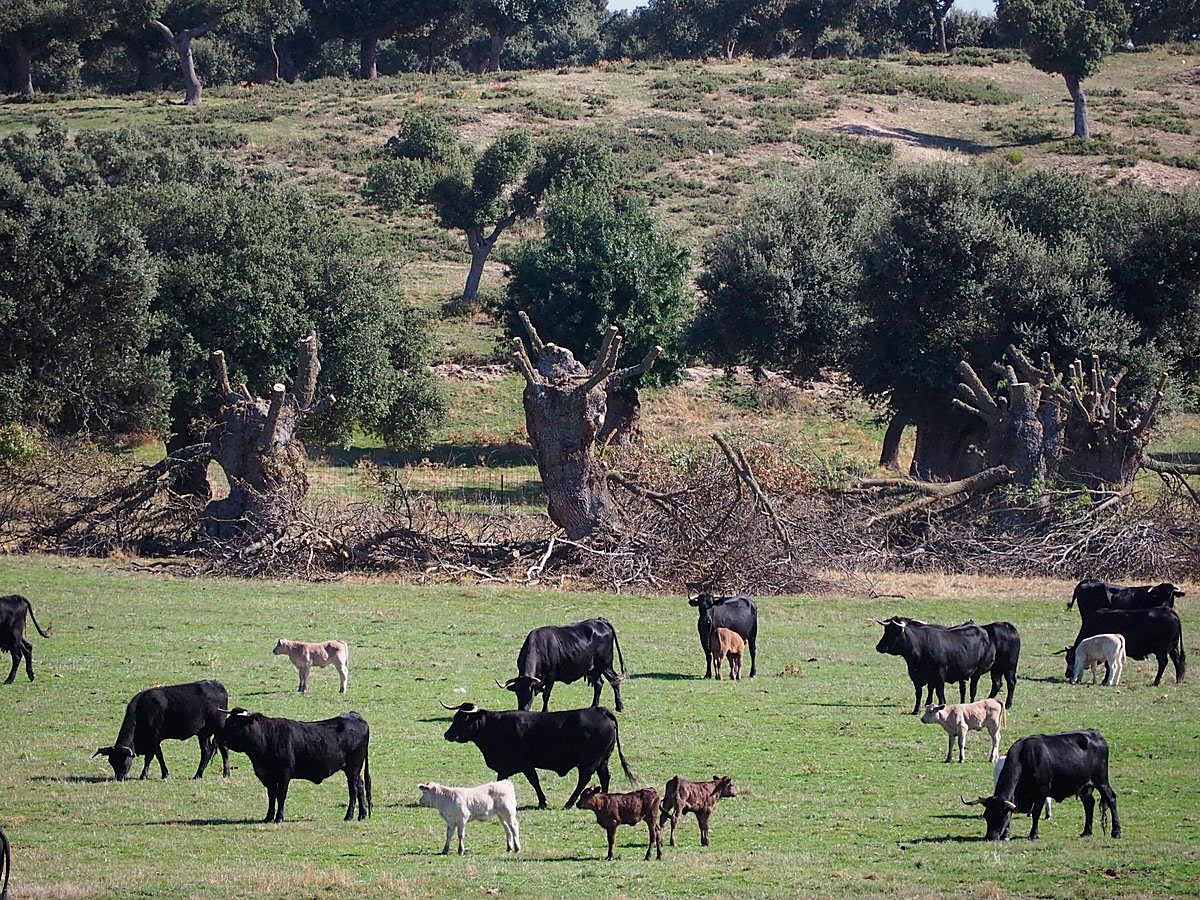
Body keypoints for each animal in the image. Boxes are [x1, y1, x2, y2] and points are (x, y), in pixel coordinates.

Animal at [93, 680, 230, 781]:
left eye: (122, 760)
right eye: (112, 762)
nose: (119, 778)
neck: (141, 710)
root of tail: (217, 684)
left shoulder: (154, 739)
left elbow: (153, 757)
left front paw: (147, 775)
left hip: (218, 729)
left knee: (224, 750)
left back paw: (226, 774)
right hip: (203, 734)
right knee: (206, 752)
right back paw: (198, 775)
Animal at [220, 708, 371, 823]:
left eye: (235, 725)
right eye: (228, 722)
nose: (221, 739)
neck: (267, 737)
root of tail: (355, 715)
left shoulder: (284, 774)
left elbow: (280, 795)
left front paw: (279, 818)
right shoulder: (269, 777)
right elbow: (271, 796)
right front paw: (268, 817)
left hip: (353, 768)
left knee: (353, 790)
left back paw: (349, 816)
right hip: (354, 770)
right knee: (360, 786)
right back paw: (362, 815)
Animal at [441, 702, 635, 810]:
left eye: (463, 719)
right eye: (455, 717)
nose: (447, 734)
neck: (495, 726)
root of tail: (601, 711)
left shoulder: (517, 765)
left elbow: (527, 781)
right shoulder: (523, 766)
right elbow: (533, 781)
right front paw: (542, 801)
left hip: (589, 761)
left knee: (584, 779)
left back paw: (569, 803)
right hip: (603, 760)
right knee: (605, 776)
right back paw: (603, 796)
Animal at [497, 618, 627, 712]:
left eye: (531, 693)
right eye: (517, 693)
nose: (523, 709)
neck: (539, 647)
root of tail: (601, 620)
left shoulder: (550, 678)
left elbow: (546, 695)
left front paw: (545, 711)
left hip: (606, 664)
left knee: (614, 681)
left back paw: (619, 707)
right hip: (594, 669)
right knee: (599, 684)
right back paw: (593, 706)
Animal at [962, 729, 1119, 841]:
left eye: (1000, 815)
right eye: (987, 816)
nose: (990, 837)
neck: (1025, 759)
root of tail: (1096, 735)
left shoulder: (1042, 793)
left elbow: (1036, 813)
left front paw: (1033, 835)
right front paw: (1006, 834)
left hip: (1101, 780)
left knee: (1111, 798)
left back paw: (1116, 832)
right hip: (1084, 786)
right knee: (1089, 804)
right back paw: (1086, 832)